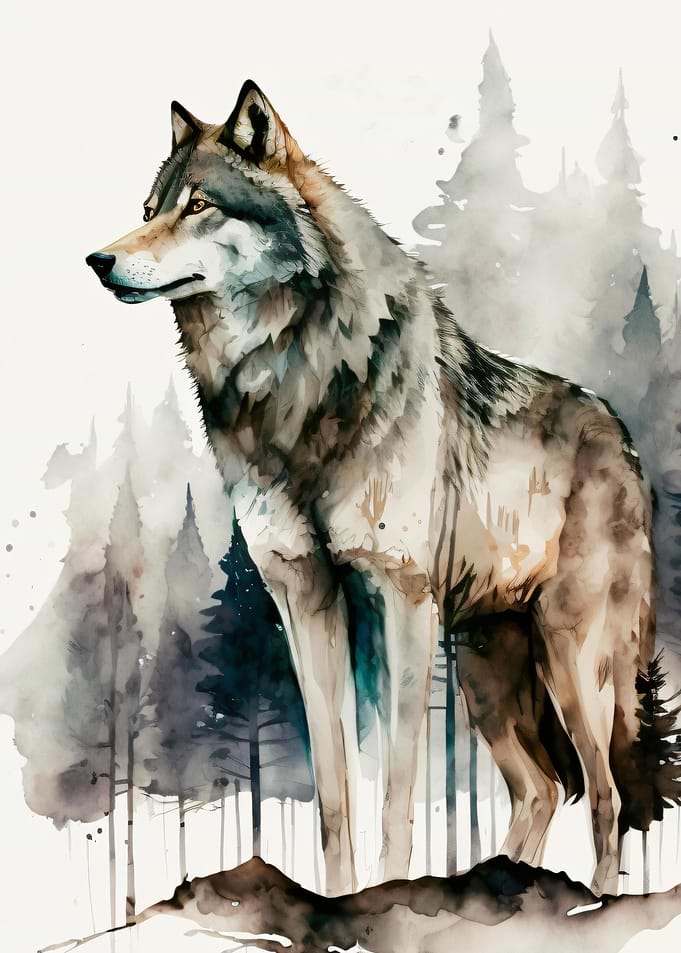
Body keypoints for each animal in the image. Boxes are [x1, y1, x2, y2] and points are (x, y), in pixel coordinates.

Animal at [87, 80, 680, 896]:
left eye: (200, 205)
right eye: (150, 208)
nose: (99, 259)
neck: (294, 380)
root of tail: (620, 434)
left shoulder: (399, 597)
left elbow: (396, 792)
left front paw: (389, 894)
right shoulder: (302, 595)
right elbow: (336, 792)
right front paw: (338, 897)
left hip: (570, 658)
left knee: (606, 791)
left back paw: (589, 902)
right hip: (486, 673)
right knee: (540, 788)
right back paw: (502, 887)